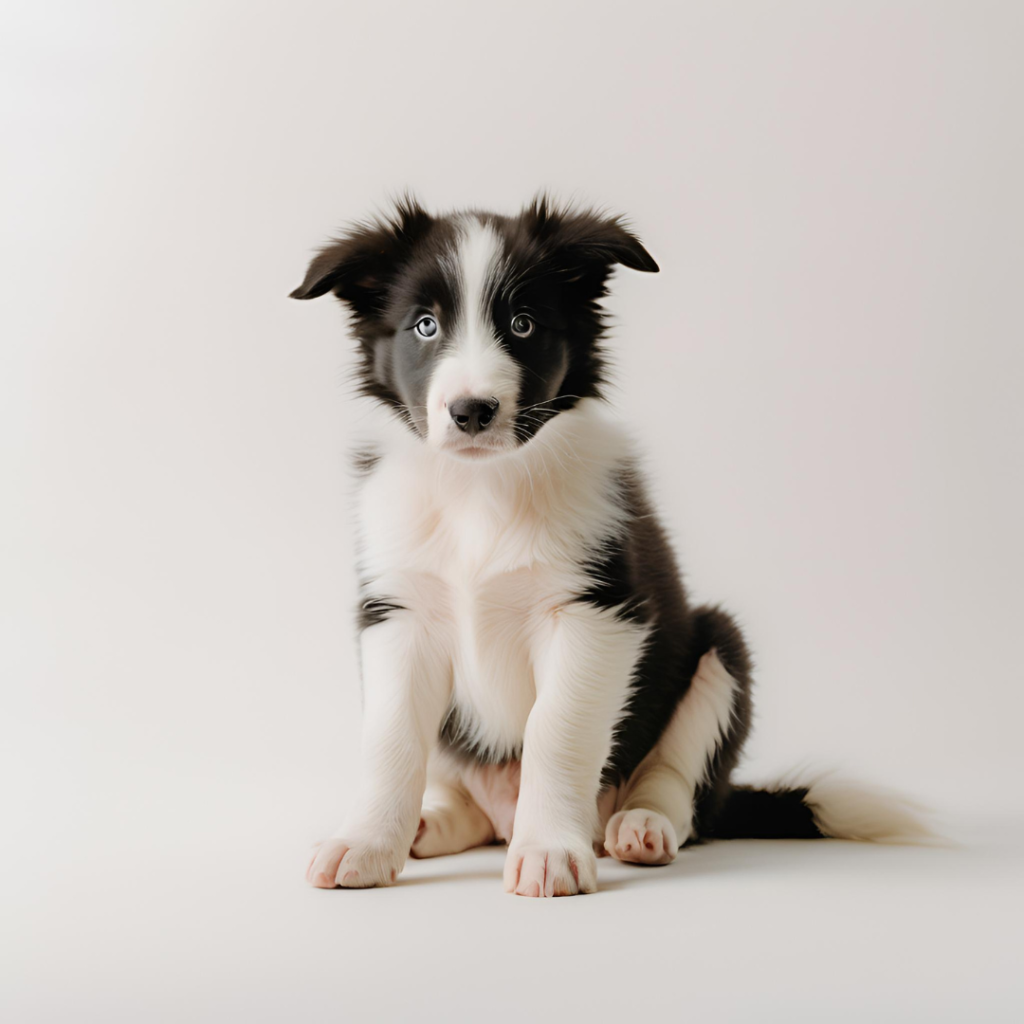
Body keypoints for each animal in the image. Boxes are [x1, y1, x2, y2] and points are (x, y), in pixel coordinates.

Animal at [292, 193, 925, 897]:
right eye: (425, 326)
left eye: (522, 324)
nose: (471, 411)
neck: (481, 491)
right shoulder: (398, 614)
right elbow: (392, 738)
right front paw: (367, 843)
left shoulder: (598, 611)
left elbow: (556, 729)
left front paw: (548, 850)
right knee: (468, 803)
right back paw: (434, 824)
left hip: (719, 648)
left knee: (681, 788)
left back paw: (641, 826)